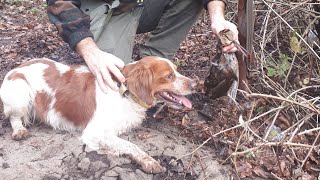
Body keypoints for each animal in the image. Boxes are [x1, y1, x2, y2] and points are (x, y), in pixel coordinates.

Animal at [0, 56, 195, 173]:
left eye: (176, 70)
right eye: (169, 76)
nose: (195, 84)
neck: (123, 91)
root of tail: (15, 68)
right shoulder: (95, 132)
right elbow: (129, 145)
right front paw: (148, 161)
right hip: (20, 91)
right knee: (14, 117)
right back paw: (19, 131)